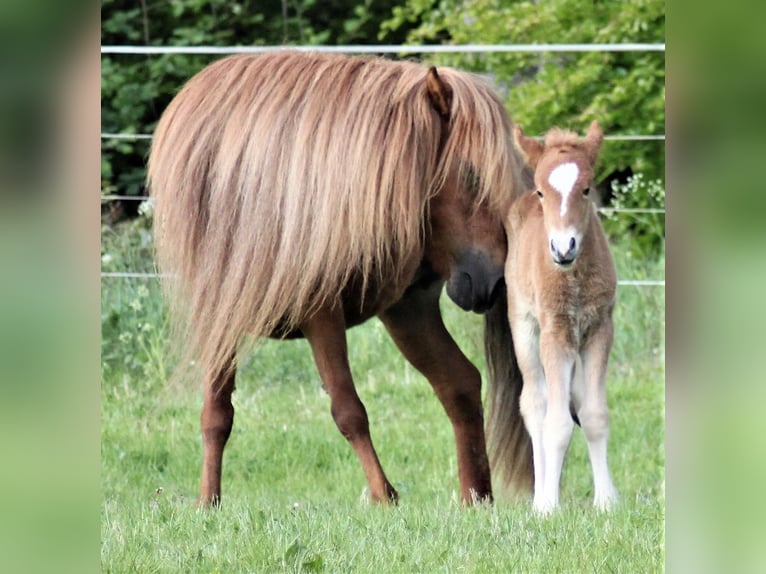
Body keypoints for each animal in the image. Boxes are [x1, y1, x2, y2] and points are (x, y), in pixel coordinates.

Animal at [151, 51, 536, 506]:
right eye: (473, 176)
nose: (492, 283)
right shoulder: (235, 314)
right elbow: (221, 413)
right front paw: (208, 503)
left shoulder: (340, 312)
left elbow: (348, 409)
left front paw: (384, 497)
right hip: (405, 312)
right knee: (458, 384)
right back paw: (476, 499)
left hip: (409, 309)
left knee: (458, 385)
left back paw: (474, 498)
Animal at [488, 120, 620, 512]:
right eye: (542, 192)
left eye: (587, 189)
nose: (563, 248)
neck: (572, 277)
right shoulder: (553, 332)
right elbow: (555, 423)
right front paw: (548, 506)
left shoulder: (599, 328)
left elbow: (593, 415)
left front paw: (606, 501)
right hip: (524, 328)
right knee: (536, 404)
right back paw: (541, 497)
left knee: (572, 398)